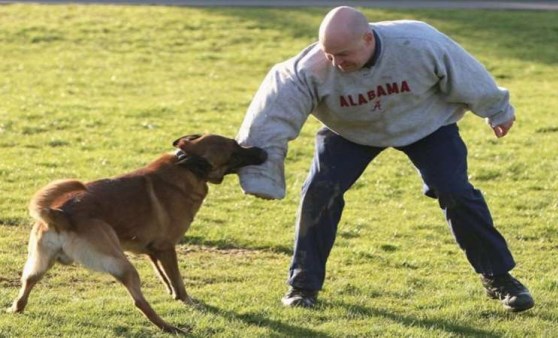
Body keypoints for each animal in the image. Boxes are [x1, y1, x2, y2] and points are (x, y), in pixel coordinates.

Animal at [7, 134, 270, 332]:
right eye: (235, 149)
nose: (263, 151)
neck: (188, 165)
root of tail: (60, 213)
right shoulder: (167, 248)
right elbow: (178, 282)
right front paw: (187, 302)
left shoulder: (152, 251)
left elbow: (166, 278)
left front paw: (173, 295)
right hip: (124, 266)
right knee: (140, 302)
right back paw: (170, 327)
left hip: (39, 264)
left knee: (26, 285)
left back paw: (15, 309)